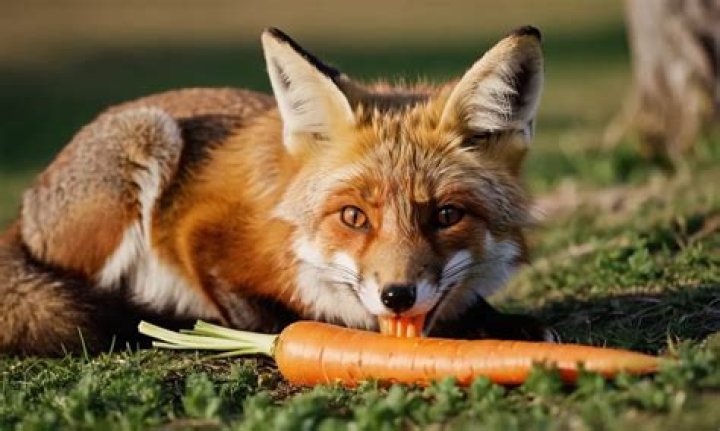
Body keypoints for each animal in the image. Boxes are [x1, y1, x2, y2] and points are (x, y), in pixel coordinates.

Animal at [0, 26, 554, 356]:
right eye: (353, 217)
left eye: (446, 215)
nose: (397, 296)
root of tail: (23, 212)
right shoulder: (201, 234)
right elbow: (269, 321)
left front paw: (502, 323)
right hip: (147, 136)